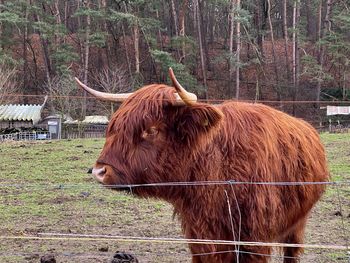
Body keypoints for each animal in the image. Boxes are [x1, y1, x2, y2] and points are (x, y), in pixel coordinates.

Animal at [75, 69, 330, 262]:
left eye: (152, 130)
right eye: (115, 127)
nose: (99, 171)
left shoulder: (254, 239)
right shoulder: (200, 235)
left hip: (298, 222)